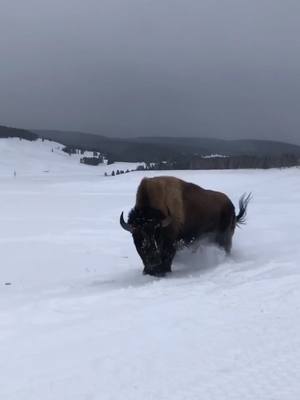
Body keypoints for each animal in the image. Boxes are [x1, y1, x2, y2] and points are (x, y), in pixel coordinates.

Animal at [119, 177, 251, 276]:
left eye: (157, 234)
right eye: (137, 236)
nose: (153, 264)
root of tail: (231, 206)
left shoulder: (171, 243)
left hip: (224, 237)